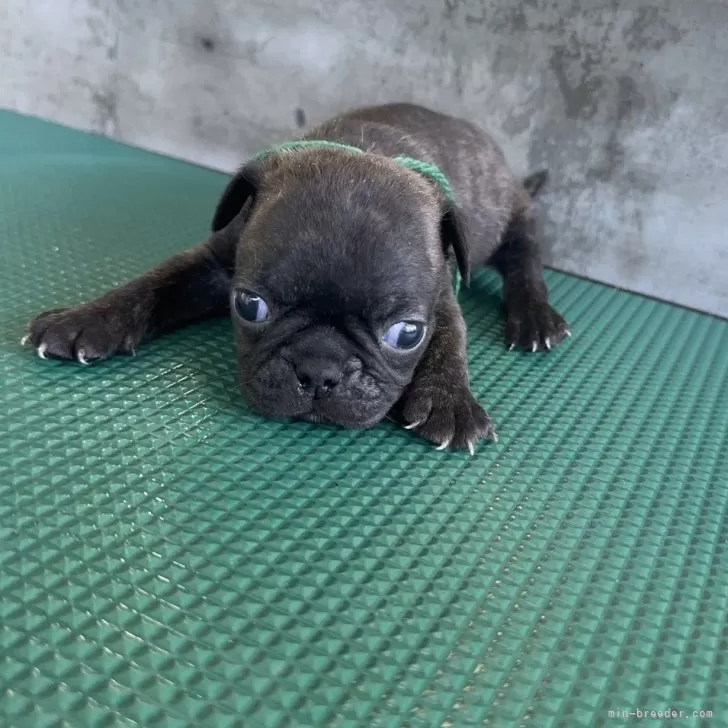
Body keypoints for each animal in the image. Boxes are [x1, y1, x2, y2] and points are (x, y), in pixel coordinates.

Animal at [22, 103, 568, 452]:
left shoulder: (440, 296)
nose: (319, 371)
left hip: (514, 217)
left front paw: (451, 399)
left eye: (406, 334)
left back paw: (535, 315)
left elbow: (451, 340)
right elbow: (153, 284)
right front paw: (87, 318)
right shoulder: (215, 262)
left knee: (525, 257)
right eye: (249, 306)